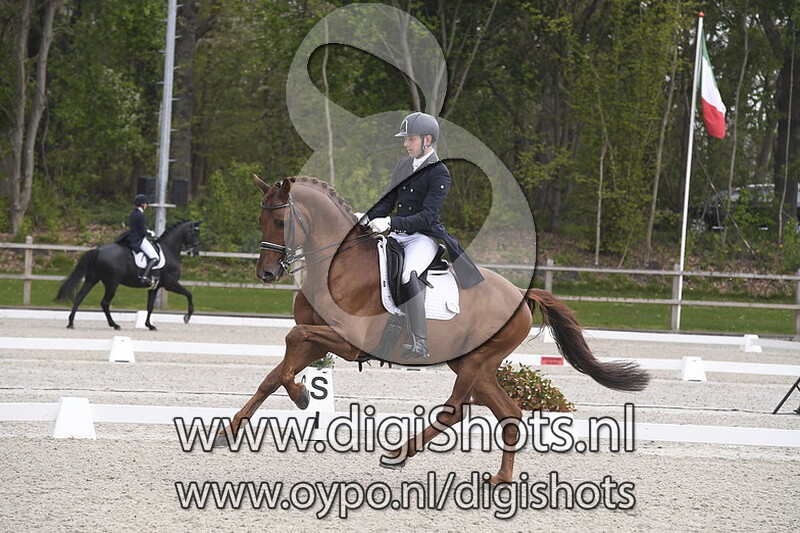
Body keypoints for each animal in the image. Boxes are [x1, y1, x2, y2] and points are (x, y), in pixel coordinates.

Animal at [55, 220, 202, 331]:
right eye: (194, 233)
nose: (195, 252)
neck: (169, 250)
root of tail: (98, 250)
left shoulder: (155, 287)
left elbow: (150, 306)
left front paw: (149, 325)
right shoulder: (170, 284)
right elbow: (189, 294)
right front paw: (187, 317)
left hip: (92, 279)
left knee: (80, 297)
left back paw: (71, 323)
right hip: (112, 283)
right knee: (105, 303)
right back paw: (114, 325)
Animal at [221, 175, 648, 484]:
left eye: (281, 221)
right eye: (260, 220)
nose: (265, 274)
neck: (335, 266)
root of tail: (521, 294)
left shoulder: (347, 341)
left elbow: (289, 347)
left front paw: (302, 396)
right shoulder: (317, 336)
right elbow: (274, 374)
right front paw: (233, 428)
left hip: (477, 361)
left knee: (454, 411)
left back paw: (398, 454)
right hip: (473, 364)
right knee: (508, 412)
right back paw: (500, 478)